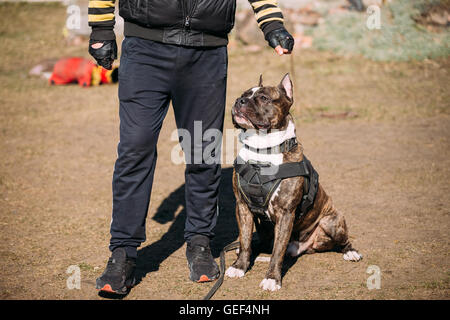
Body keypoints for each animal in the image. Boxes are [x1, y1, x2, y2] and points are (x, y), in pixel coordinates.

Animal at [225, 74, 362, 292]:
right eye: (243, 94)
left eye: (263, 97)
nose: (240, 101)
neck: (262, 151)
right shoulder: (242, 207)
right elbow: (245, 240)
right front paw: (239, 266)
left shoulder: (286, 213)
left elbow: (277, 252)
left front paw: (272, 279)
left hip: (332, 221)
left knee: (342, 240)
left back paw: (351, 252)